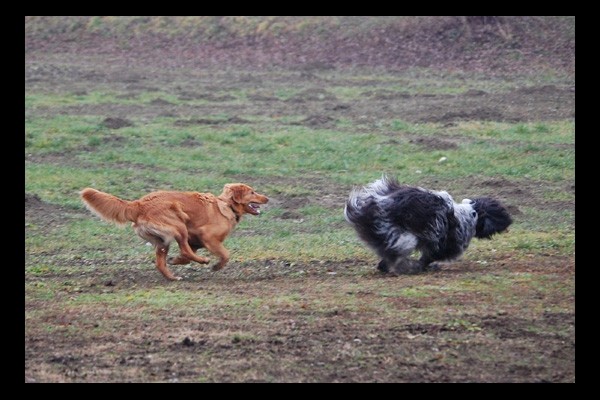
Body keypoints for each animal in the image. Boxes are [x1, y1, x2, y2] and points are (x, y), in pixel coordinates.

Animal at [81, 183, 268, 280]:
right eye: (252, 192)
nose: (267, 198)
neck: (226, 205)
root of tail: (138, 204)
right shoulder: (207, 237)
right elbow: (225, 254)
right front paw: (216, 266)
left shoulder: (195, 241)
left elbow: (186, 256)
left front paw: (177, 260)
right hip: (179, 225)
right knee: (183, 248)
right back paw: (203, 261)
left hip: (162, 240)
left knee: (161, 262)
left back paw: (172, 277)